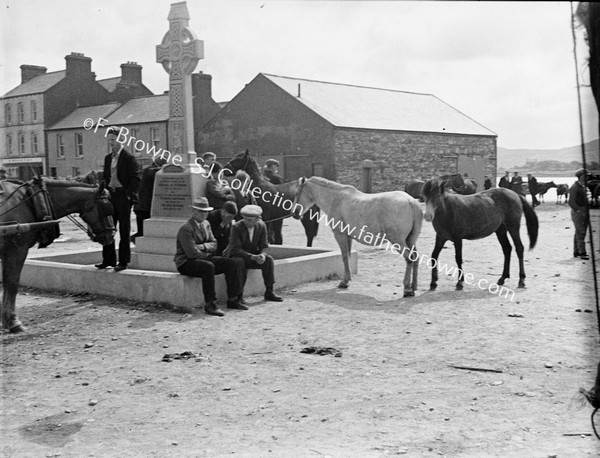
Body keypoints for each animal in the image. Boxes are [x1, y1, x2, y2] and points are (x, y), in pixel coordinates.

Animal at [0, 179, 115, 332]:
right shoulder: (17, 249)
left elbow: (6, 283)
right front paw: (13, 322)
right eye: (106, 206)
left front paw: (7, 320)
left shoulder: (7, 252)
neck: (29, 200)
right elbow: (12, 283)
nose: (112, 235)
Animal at [292, 175, 422, 296]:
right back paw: (413, 286)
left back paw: (407, 288)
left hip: (398, 241)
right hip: (410, 240)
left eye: (297, 193)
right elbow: (348, 256)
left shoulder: (340, 235)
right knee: (415, 258)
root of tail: (411, 202)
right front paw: (347, 279)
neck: (336, 198)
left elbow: (344, 257)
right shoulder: (348, 237)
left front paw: (344, 282)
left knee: (409, 258)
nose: (294, 214)